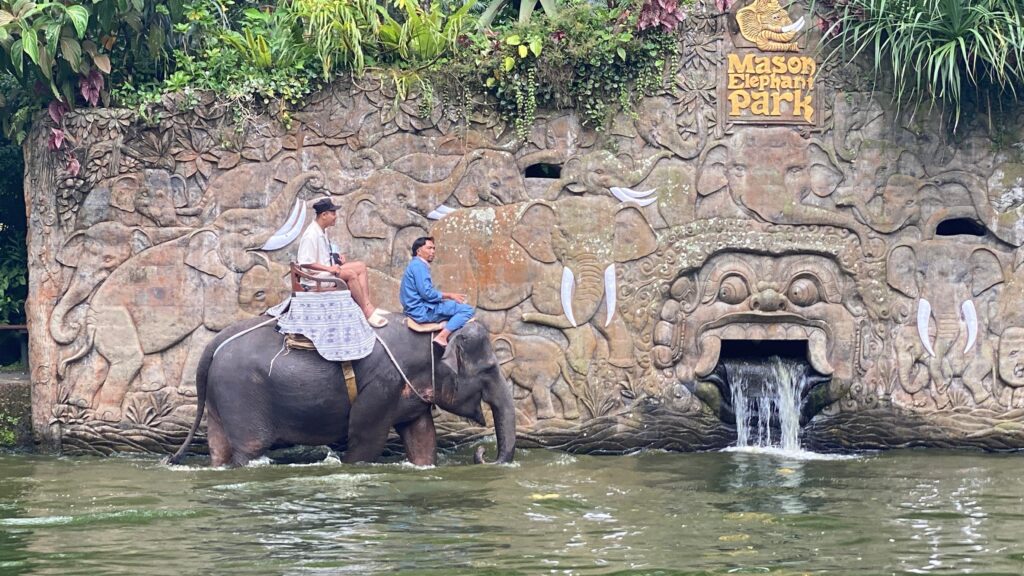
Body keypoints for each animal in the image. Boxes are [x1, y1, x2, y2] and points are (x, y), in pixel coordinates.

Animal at [53, 172, 317, 421]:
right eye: (246, 231)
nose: (314, 179)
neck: (209, 231)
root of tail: (89, 320)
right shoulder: (213, 278)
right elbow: (219, 318)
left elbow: (206, 331)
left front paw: (189, 392)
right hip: (116, 319)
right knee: (128, 360)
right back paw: (107, 415)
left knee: (100, 361)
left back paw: (81, 403)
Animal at [168, 316, 515, 467]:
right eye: (489, 370)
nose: (481, 454)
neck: (430, 331)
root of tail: (212, 344)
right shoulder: (383, 384)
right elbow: (365, 439)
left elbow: (422, 440)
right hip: (240, 392)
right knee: (249, 449)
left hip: (220, 396)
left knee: (218, 447)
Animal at [887, 240, 1006, 405]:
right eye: (921, 274)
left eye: (965, 277)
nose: (945, 384)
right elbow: (925, 374)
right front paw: (928, 401)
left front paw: (942, 391)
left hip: (982, 358)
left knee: (970, 377)